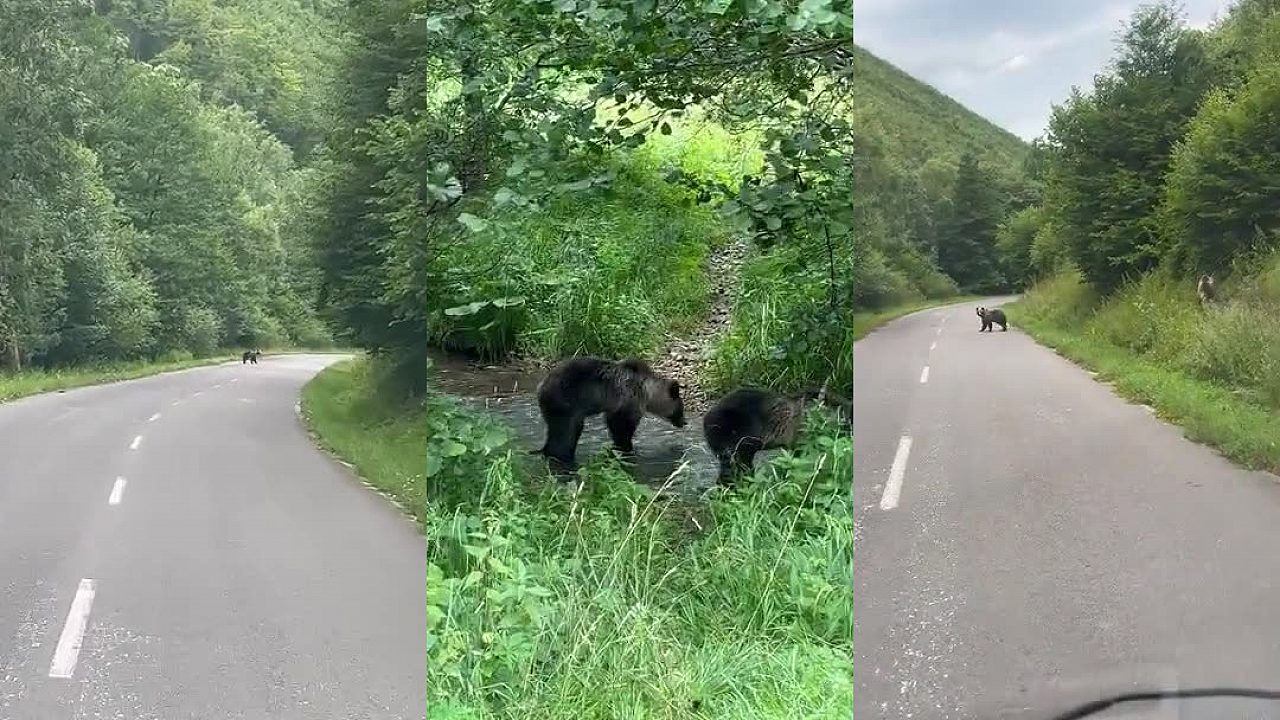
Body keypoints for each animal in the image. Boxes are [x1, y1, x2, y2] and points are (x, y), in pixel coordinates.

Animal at [532, 353, 691, 471]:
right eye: (681, 408)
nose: (684, 422)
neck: (648, 392)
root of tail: (541, 386)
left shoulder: (617, 404)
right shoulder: (629, 399)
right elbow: (622, 426)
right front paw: (626, 448)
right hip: (567, 402)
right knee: (566, 432)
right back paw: (562, 456)